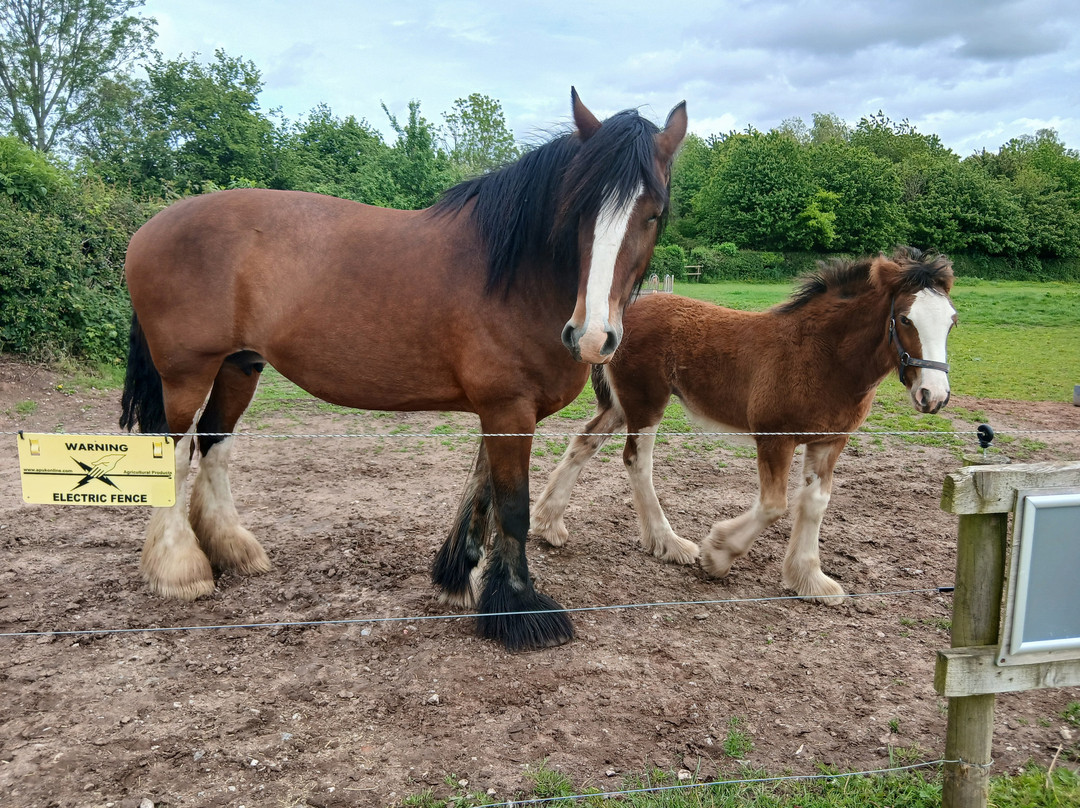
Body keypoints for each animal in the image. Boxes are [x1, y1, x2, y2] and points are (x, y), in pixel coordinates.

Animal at [119, 89, 687, 651]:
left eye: (654, 213)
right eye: (577, 208)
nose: (592, 337)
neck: (517, 274)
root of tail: (150, 226)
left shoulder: (498, 410)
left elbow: (481, 495)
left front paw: (459, 577)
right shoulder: (508, 409)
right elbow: (512, 508)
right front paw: (519, 608)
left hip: (240, 367)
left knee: (214, 443)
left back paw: (232, 549)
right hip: (187, 373)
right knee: (177, 451)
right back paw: (179, 568)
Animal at [531, 247, 955, 603]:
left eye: (952, 321)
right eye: (905, 318)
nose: (933, 395)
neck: (822, 357)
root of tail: (616, 319)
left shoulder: (830, 441)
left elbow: (815, 503)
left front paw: (810, 579)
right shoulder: (774, 438)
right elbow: (773, 505)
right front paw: (717, 554)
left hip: (622, 406)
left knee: (585, 442)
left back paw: (549, 524)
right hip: (646, 403)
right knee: (638, 462)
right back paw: (670, 544)